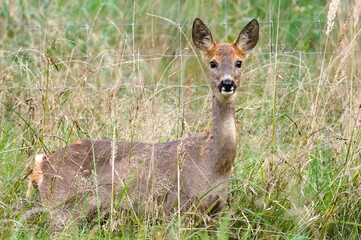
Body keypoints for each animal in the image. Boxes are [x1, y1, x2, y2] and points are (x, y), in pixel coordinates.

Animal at [28, 17, 258, 226]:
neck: (212, 162)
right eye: (213, 63)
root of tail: (41, 163)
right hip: (63, 206)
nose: (227, 83)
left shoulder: (216, 212)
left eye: (239, 62)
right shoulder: (175, 207)